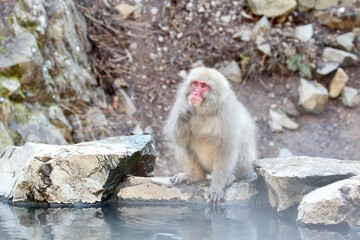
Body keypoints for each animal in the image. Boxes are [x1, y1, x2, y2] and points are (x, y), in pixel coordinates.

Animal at [165, 67, 258, 204]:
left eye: (204, 86)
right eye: (195, 84)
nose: (194, 94)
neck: (205, 111)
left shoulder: (227, 114)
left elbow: (226, 150)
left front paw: (216, 189)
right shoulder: (181, 102)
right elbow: (179, 140)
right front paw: (185, 115)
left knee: (242, 149)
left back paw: (232, 176)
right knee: (185, 145)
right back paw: (196, 176)